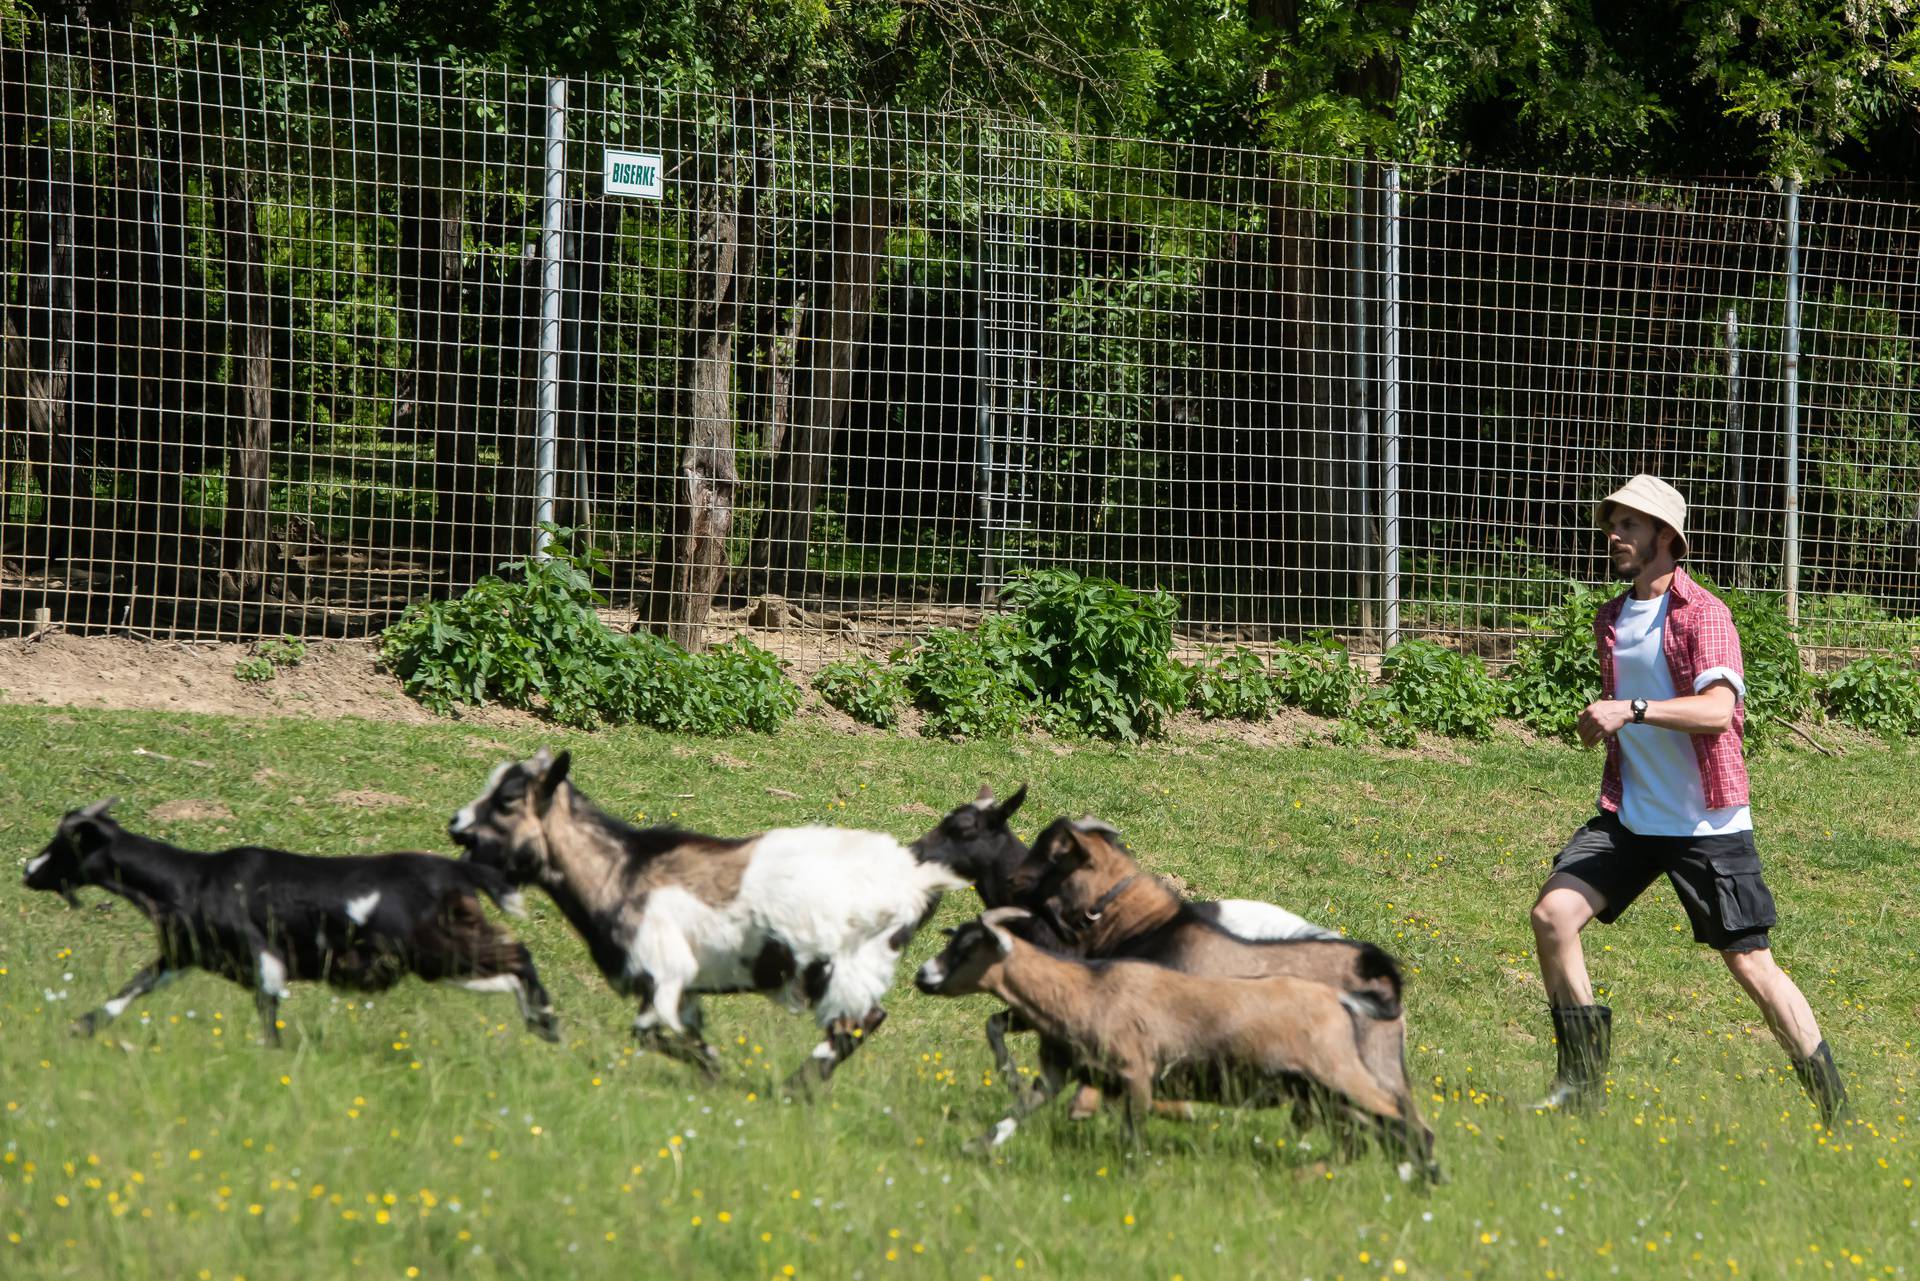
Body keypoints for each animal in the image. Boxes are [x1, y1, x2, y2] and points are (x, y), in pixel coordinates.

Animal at [917, 906, 1443, 1175]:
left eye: (969, 947)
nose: (923, 975)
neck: (1085, 987)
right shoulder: (1059, 1069)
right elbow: (1018, 1108)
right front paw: (975, 1146)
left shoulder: (1137, 1073)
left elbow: (1133, 1137)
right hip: (1319, 1087)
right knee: (1368, 1131)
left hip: (1343, 1073)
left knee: (1402, 1119)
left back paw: (1420, 1179)